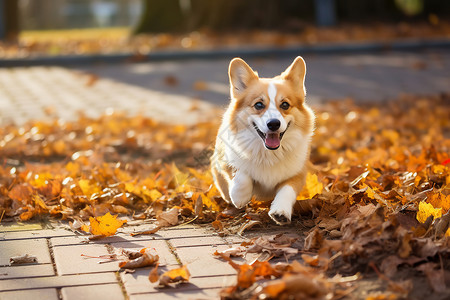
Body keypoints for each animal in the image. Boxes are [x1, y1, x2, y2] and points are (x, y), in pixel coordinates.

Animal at [212, 56, 314, 225]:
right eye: (259, 104)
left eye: (285, 104)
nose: (273, 124)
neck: (268, 153)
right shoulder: (226, 157)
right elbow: (242, 172)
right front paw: (239, 196)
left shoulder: (298, 172)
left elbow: (287, 190)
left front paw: (280, 212)